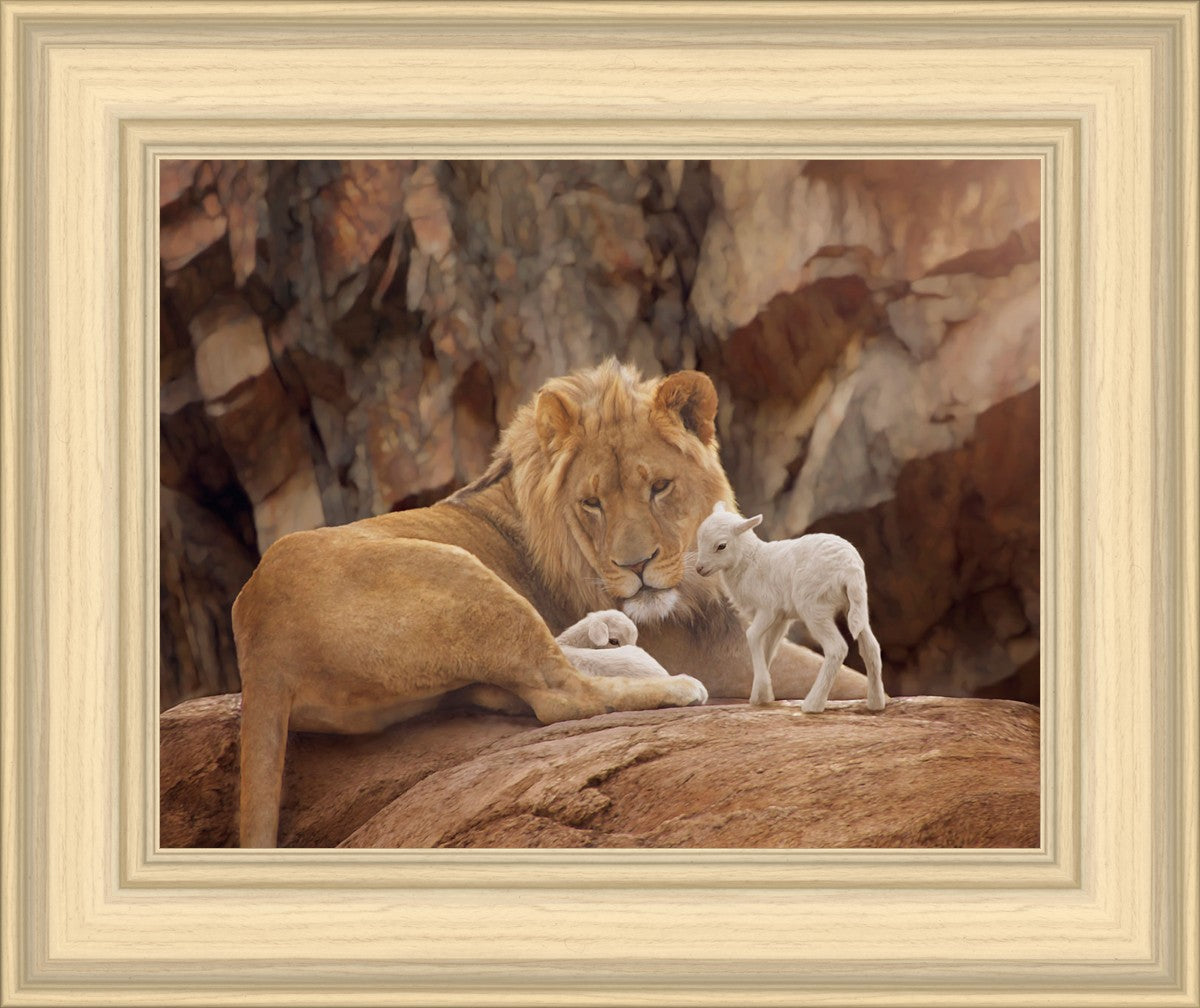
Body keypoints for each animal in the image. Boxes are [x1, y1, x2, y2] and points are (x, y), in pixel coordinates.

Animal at [694, 502, 886, 713]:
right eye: (699, 538)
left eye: (721, 546)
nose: (699, 568)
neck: (750, 561)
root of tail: (850, 568)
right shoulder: (780, 618)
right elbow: (768, 648)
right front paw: (761, 695)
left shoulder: (768, 608)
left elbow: (752, 636)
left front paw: (762, 690)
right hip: (856, 605)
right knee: (871, 647)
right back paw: (876, 703)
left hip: (814, 607)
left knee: (837, 648)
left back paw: (813, 704)